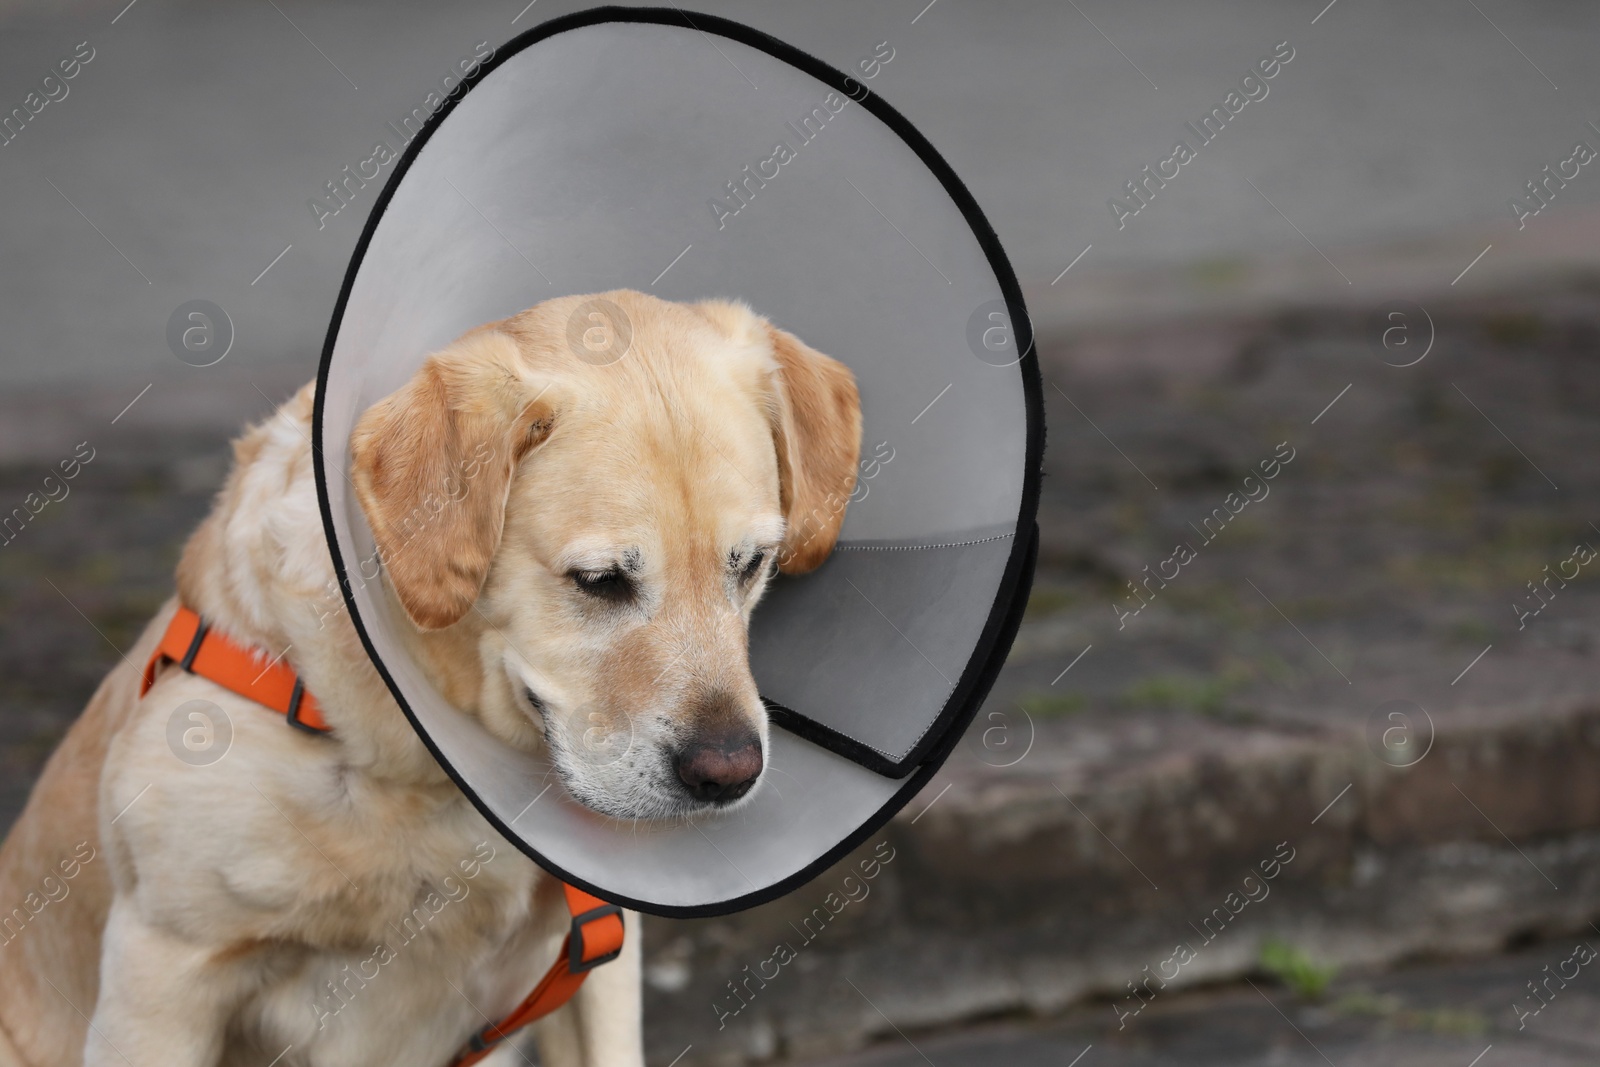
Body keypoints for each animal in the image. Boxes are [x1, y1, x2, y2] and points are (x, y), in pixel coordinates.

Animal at [0, 287, 864, 1062]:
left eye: (750, 564)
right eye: (600, 580)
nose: (729, 773)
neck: (431, 783)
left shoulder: (599, 959)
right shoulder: (163, 974)